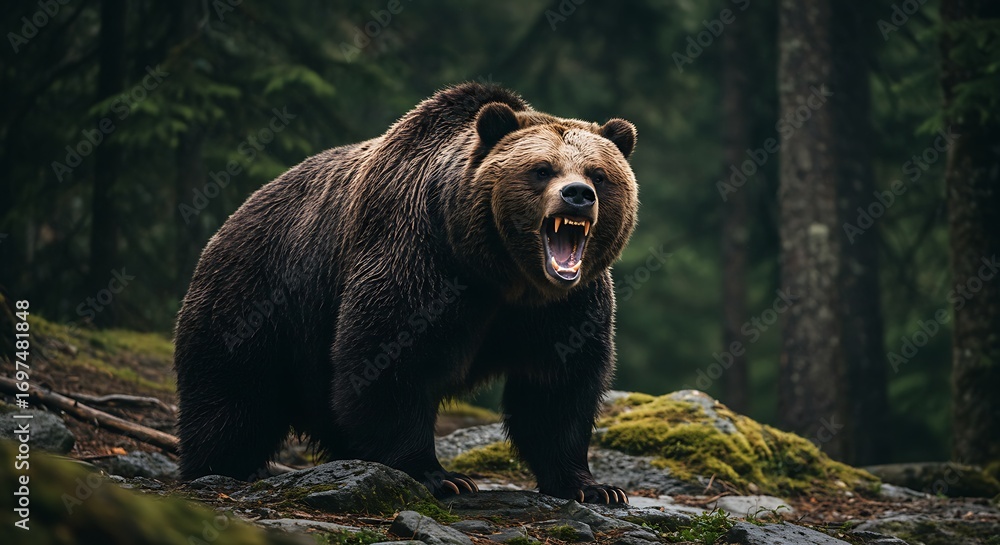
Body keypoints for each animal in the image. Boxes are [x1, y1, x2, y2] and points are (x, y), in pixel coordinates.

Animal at [174, 82, 639, 504]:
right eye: (542, 169)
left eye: (599, 174)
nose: (578, 195)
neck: (502, 274)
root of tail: (232, 219)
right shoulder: (419, 259)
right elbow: (391, 359)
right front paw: (438, 476)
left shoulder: (566, 306)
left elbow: (558, 387)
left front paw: (594, 487)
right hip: (257, 298)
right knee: (233, 399)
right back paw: (219, 468)